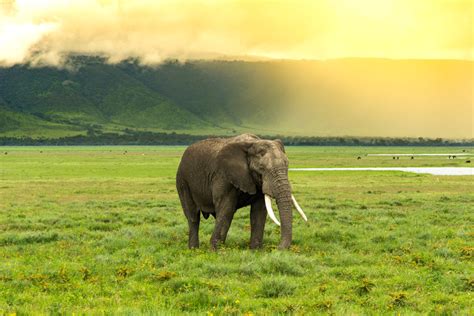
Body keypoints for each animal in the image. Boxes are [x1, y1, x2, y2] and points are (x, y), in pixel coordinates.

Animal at [175, 133, 308, 249]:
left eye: (287, 165)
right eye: (261, 169)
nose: (278, 248)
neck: (252, 143)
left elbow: (259, 211)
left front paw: (256, 250)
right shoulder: (223, 176)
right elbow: (226, 209)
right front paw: (215, 252)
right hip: (182, 181)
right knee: (193, 217)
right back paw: (194, 250)